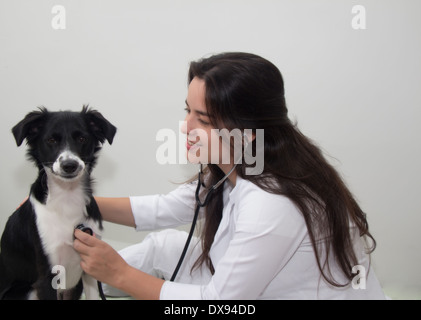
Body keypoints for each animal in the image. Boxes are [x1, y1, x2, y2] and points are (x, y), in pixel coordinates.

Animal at [0, 106, 115, 298]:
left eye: (82, 138)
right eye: (51, 140)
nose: (69, 165)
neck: (67, 197)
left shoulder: (91, 267)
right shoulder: (46, 277)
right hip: (28, 290)